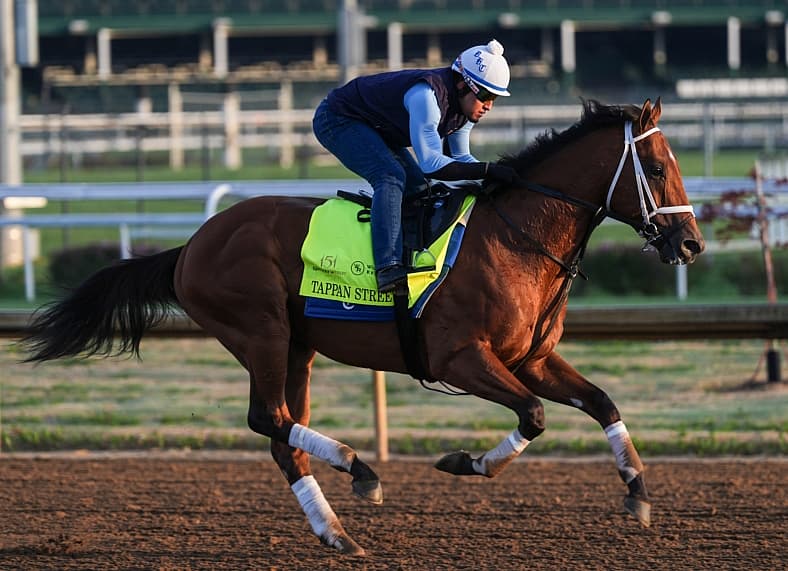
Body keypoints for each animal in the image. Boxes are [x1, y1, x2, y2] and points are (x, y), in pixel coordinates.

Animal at [20, 98, 704, 556]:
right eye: (657, 166)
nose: (691, 243)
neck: (517, 239)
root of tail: (190, 246)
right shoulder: (459, 357)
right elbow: (533, 415)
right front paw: (465, 463)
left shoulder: (529, 358)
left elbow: (602, 400)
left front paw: (638, 491)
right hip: (260, 330)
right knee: (268, 419)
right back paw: (359, 470)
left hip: (296, 348)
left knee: (281, 433)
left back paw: (335, 531)